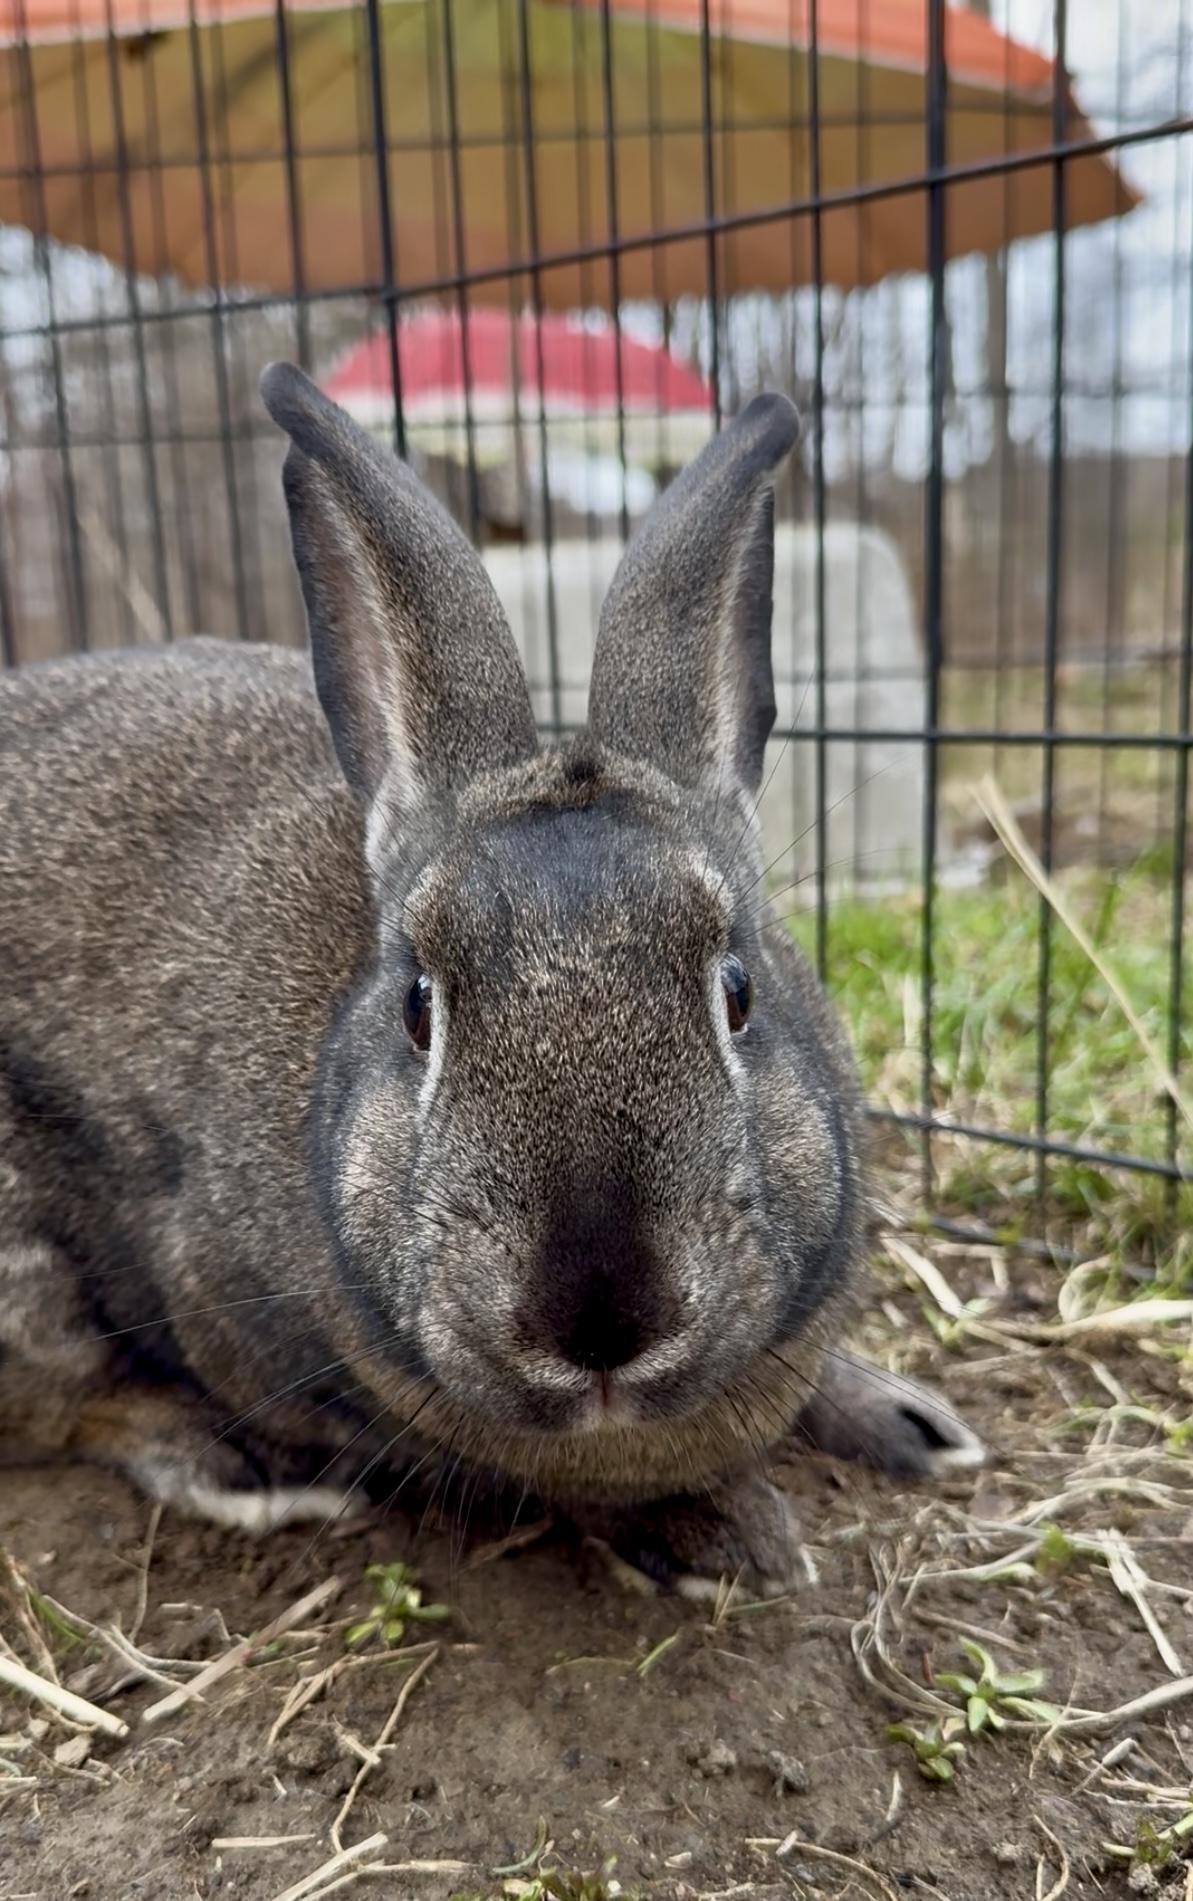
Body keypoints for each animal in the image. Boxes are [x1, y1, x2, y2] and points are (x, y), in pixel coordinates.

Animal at [0, 364, 983, 1595]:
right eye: (419, 1008)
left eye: (738, 991)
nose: (599, 1320)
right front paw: (719, 1533)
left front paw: (902, 1418)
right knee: (66, 1406)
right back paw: (233, 1468)